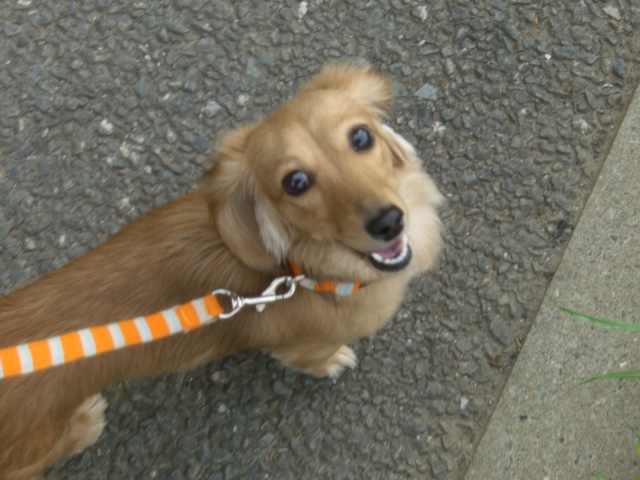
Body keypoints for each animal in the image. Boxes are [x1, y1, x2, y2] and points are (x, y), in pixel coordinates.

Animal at [0, 64, 443, 479]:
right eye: (296, 182)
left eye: (361, 137)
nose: (388, 222)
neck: (305, 272)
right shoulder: (304, 345)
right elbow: (314, 358)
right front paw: (333, 362)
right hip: (37, 446)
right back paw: (85, 424)